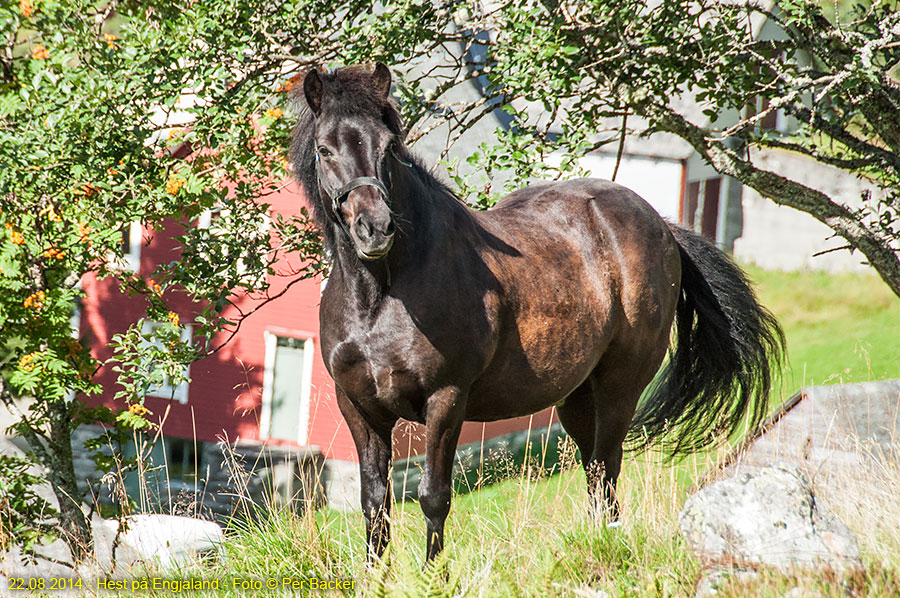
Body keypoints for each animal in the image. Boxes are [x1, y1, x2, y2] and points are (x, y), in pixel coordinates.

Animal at [290, 64, 780, 564]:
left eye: (389, 146)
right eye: (324, 149)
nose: (375, 228)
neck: (381, 296)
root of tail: (660, 224)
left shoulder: (446, 400)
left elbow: (434, 497)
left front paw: (432, 572)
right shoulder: (358, 407)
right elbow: (375, 504)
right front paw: (376, 572)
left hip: (619, 386)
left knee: (607, 468)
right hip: (577, 396)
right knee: (594, 472)